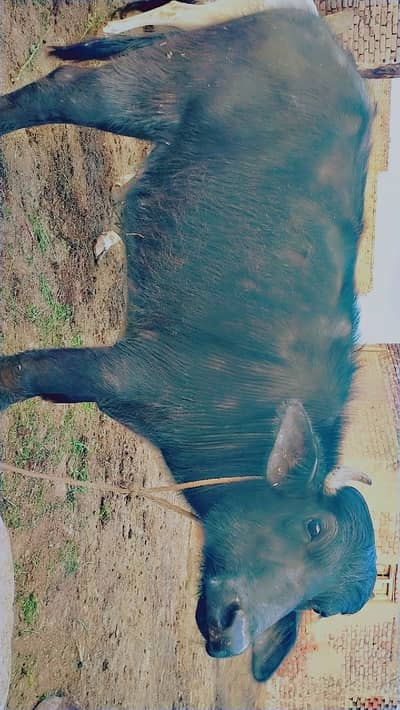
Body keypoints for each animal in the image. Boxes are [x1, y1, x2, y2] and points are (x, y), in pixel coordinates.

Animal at [0, 4, 376, 682]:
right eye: (313, 528)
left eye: (321, 605)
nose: (234, 630)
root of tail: (311, 25)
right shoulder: (128, 369)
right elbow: (21, 375)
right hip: (153, 84)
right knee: (54, 93)